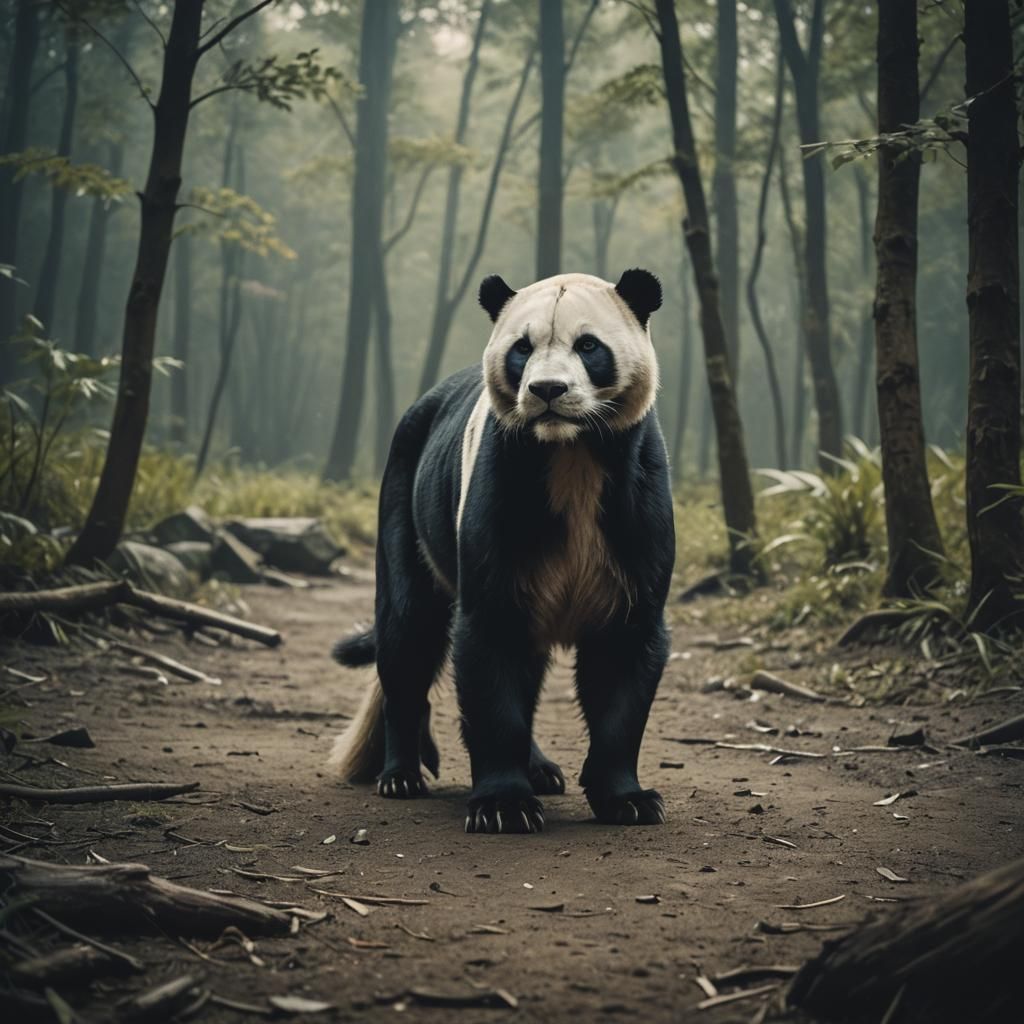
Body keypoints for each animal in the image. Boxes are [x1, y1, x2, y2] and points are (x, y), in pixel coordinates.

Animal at [330, 269, 675, 834]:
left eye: (588, 346)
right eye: (522, 348)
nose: (547, 390)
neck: (571, 451)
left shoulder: (635, 499)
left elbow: (625, 656)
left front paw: (629, 800)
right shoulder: (501, 483)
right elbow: (489, 647)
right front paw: (504, 807)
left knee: (524, 664)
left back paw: (542, 770)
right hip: (405, 503)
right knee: (407, 631)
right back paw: (401, 775)